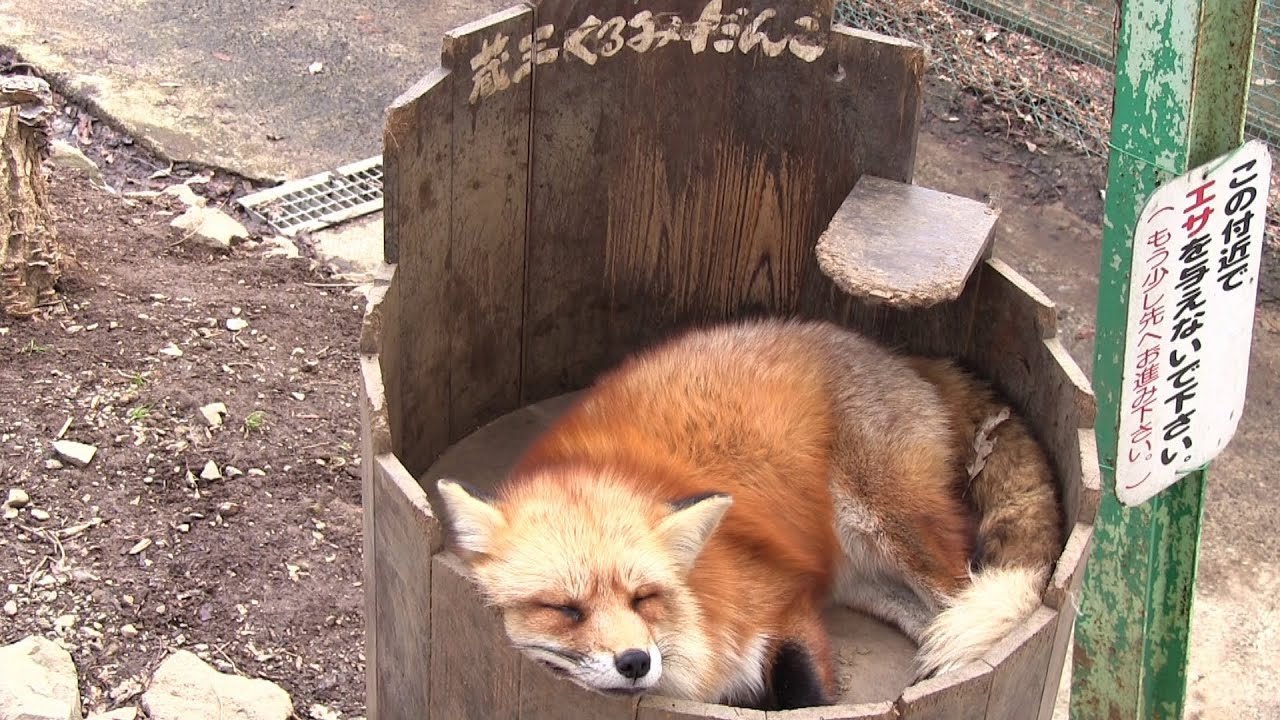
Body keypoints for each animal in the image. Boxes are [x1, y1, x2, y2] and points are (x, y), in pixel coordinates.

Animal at [436, 318, 1063, 709]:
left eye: (645, 597)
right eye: (564, 610)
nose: (636, 661)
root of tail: (898, 356)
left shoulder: (781, 601)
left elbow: (801, 697)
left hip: (892, 524)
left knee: (966, 596)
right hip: (859, 573)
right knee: (934, 624)